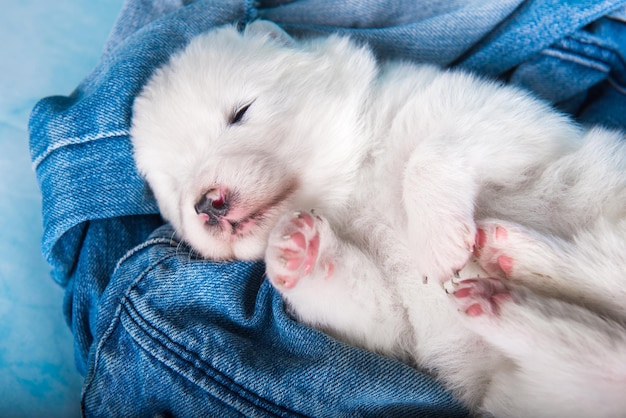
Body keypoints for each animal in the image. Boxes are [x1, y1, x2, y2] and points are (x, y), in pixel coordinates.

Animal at [132, 21, 624, 416]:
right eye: (173, 187)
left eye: (240, 112)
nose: (205, 203)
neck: (352, 184)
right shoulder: (391, 325)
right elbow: (371, 309)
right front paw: (294, 247)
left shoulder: (505, 120)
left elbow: (432, 153)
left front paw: (439, 243)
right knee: (605, 349)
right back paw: (497, 296)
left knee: (597, 272)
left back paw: (513, 260)